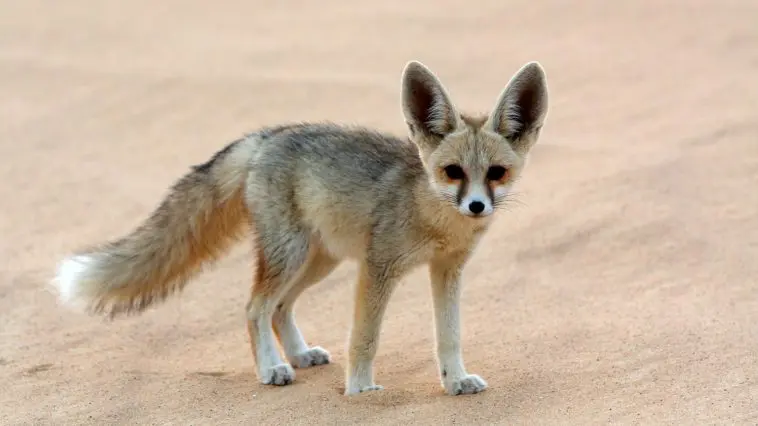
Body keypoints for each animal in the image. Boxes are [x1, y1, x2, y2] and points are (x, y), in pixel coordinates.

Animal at [51, 60, 549, 396]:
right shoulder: (378, 268)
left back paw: (297, 355)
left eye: (496, 174)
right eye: (453, 173)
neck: (433, 217)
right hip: (292, 255)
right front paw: (360, 390)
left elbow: (450, 336)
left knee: (279, 308)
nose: (477, 206)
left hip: (320, 261)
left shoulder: (447, 271)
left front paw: (455, 381)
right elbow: (365, 338)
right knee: (255, 307)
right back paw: (271, 369)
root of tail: (269, 135)